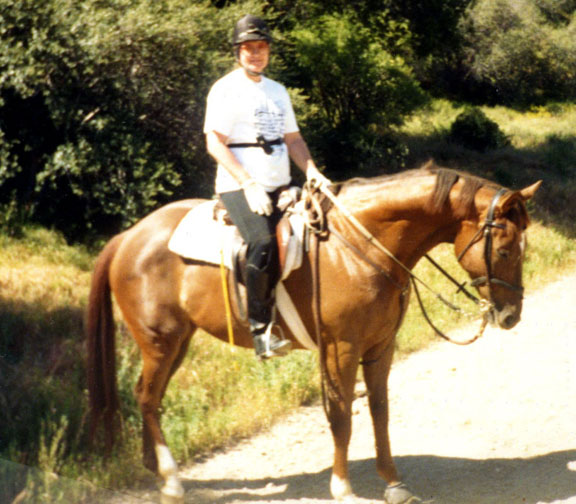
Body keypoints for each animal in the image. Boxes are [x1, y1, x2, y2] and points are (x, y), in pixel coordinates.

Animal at [86, 163, 540, 502]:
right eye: (504, 250)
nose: (511, 316)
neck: (361, 244)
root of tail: (128, 237)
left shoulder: (381, 345)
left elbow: (379, 410)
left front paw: (393, 483)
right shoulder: (341, 348)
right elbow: (340, 416)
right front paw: (342, 487)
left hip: (178, 342)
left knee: (151, 398)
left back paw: (157, 471)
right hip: (159, 341)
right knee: (146, 397)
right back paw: (172, 478)